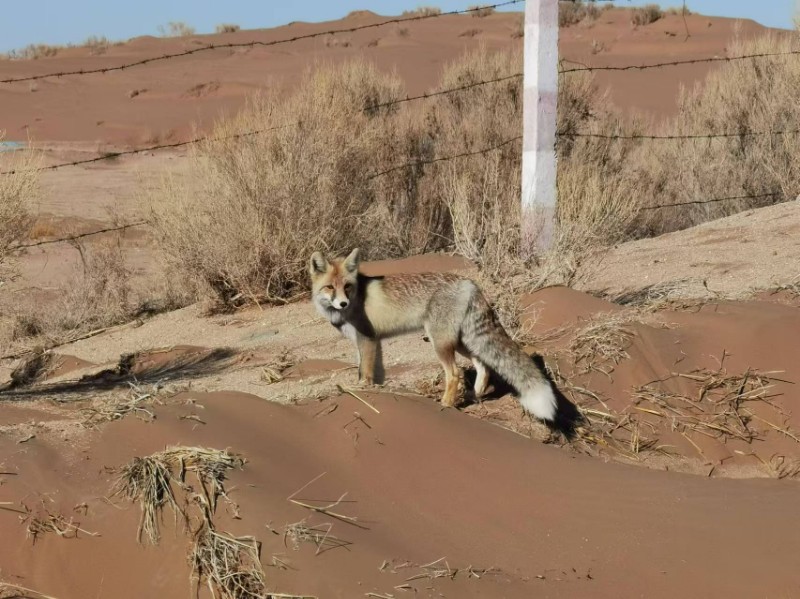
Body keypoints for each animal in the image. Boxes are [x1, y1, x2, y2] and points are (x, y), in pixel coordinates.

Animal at [310, 248, 560, 422]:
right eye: (330, 287)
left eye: (347, 286)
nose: (343, 303)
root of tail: (469, 283)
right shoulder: (366, 342)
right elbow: (370, 372)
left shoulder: (368, 339)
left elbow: (366, 373)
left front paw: (364, 391)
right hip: (462, 342)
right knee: (484, 367)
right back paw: (474, 396)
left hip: (440, 342)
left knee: (455, 374)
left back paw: (446, 405)